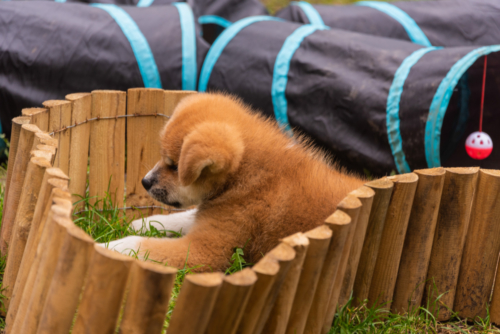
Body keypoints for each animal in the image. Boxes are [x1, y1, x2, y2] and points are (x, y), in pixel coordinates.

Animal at [105, 92, 364, 272]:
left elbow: (141, 246)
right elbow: (185, 217)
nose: (144, 182)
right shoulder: (212, 219)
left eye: (175, 166)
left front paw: (107, 247)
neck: (244, 177)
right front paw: (146, 222)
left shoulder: (207, 250)